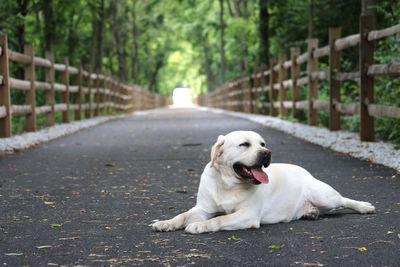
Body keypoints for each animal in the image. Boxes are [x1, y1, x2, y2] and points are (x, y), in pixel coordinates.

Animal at [152, 131, 376, 234]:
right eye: (244, 144)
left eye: (262, 143)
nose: (267, 152)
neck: (227, 185)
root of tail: (305, 171)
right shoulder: (202, 208)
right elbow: (182, 215)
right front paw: (165, 223)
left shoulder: (247, 215)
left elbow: (219, 219)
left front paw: (199, 226)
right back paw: (311, 212)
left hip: (325, 196)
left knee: (343, 200)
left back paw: (364, 206)